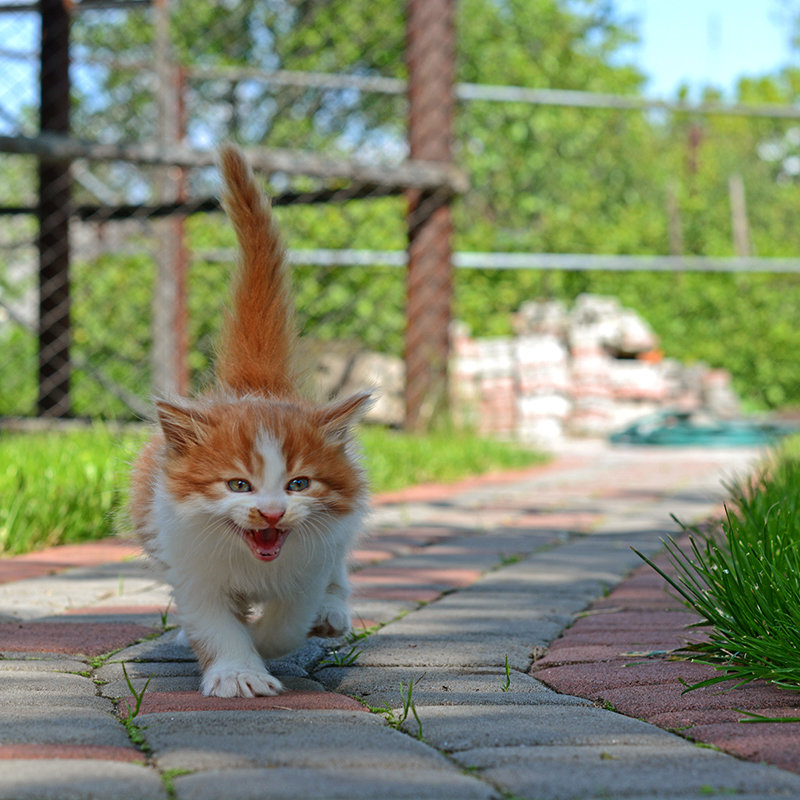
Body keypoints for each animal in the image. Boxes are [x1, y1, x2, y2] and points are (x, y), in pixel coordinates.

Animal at [129, 147, 372, 696]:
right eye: (238, 485)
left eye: (299, 483)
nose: (272, 513)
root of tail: (256, 383)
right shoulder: (190, 560)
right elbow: (213, 620)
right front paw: (239, 672)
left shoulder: (310, 559)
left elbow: (289, 620)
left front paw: (267, 642)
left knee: (339, 568)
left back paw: (333, 612)